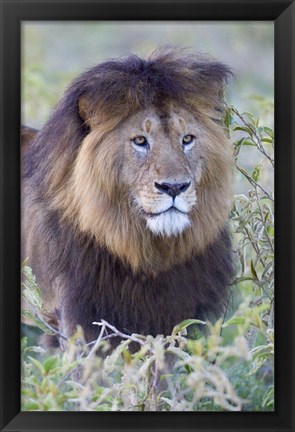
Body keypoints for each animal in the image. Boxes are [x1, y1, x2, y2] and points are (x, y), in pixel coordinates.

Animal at [20, 48, 235, 352]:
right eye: (140, 141)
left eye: (187, 139)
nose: (174, 187)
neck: (143, 252)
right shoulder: (74, 318)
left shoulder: (170, 318)